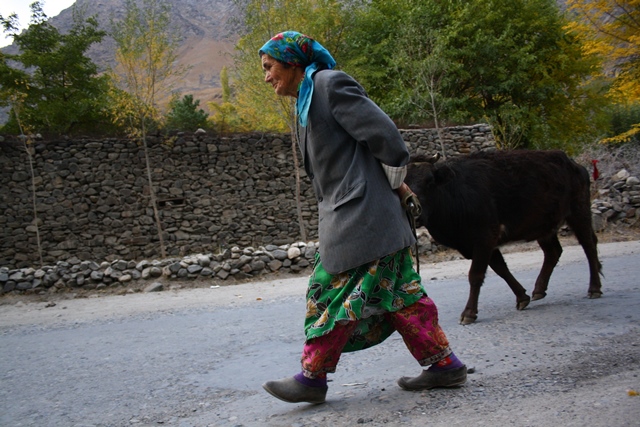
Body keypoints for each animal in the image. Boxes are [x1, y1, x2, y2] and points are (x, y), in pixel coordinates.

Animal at [408, 150, 604, 324]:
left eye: (430, 181)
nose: (414, 213)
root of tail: (574, 164)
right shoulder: (482, 244)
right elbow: (501, 269)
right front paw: (522, 297)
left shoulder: (485, 237)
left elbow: (476, 275)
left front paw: (469, 313)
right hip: (544, 226)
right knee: (553, 252)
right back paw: (539, 289)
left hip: (579, 211)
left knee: (589, 245)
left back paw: (594, 288)